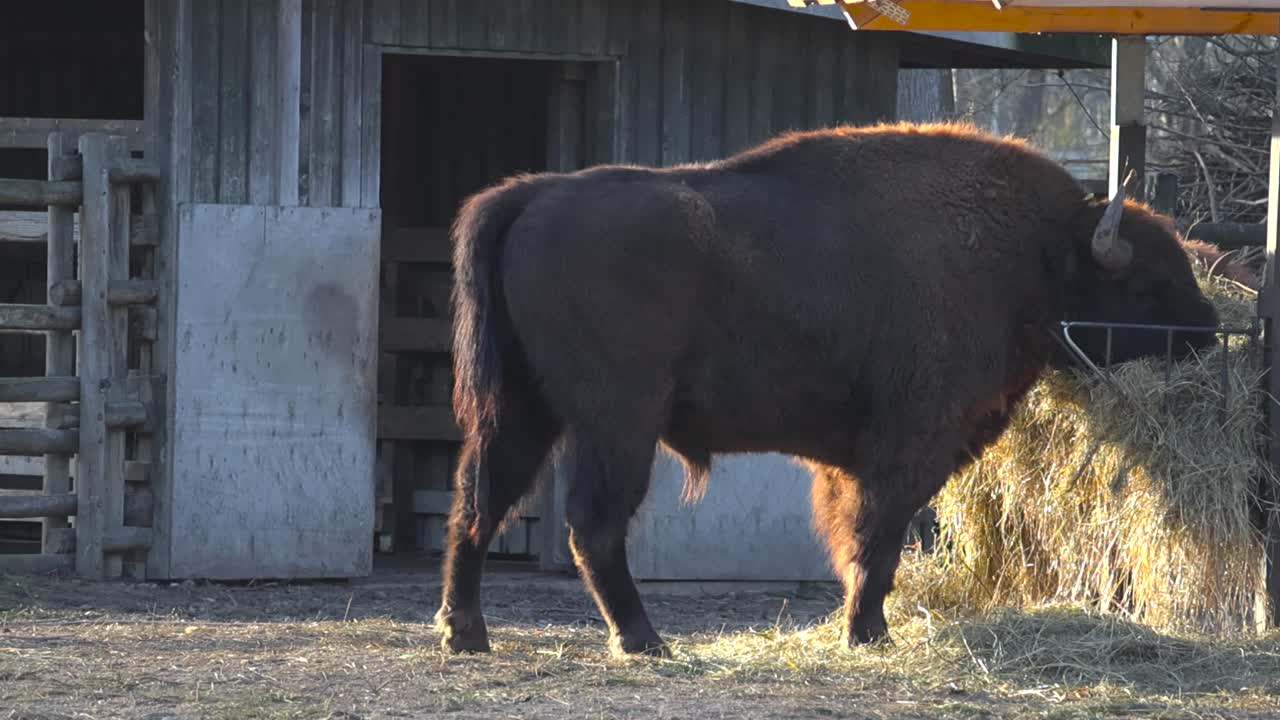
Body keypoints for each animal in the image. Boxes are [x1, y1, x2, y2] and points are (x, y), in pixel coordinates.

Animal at [433, 122, 1221, 657]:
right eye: (1147, 285)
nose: (1209, 332)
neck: (1033, 253)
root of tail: (536, 193)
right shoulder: (912, 440)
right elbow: (879, 533)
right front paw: (867, 631)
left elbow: (858, 531)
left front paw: (862, 626)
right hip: (618, 419)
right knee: (591, 522)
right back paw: (642, 639)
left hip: (522, 409)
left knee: (479, 502)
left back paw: (466, 632)